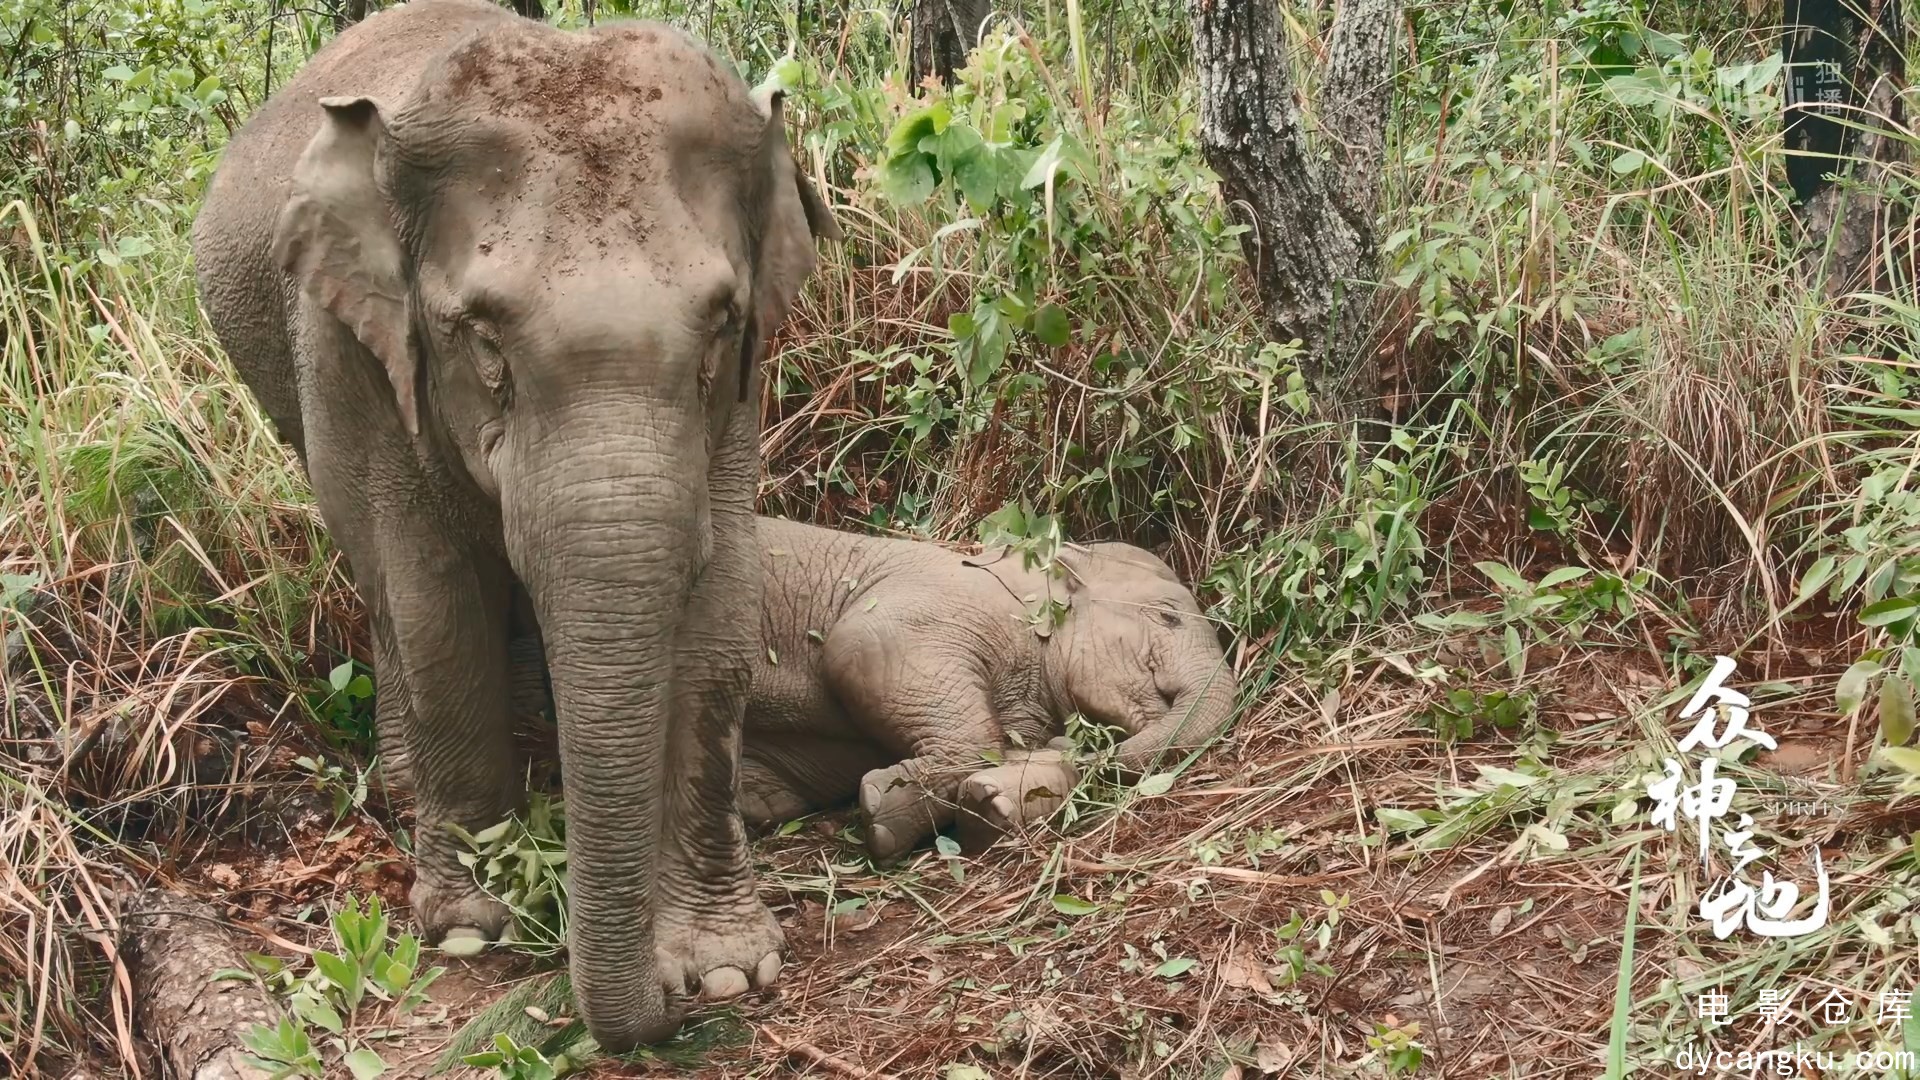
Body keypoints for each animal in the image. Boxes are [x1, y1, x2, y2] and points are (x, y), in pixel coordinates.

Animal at [189, 0, 840, 1045]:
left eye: (718, 328)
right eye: (485, 342)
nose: (663, 1002)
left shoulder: (742, 396)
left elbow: (721, 612)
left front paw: (724, 967)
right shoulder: (365, 358)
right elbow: (438, 608)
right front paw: (470, 925)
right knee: (380, 580)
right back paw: (409, 786)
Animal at [741, 515, 1236, 857]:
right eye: (1168, 617)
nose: (1064, 745)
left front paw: (988, 804)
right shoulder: (941, 603)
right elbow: (859, 644)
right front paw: (879, 813)